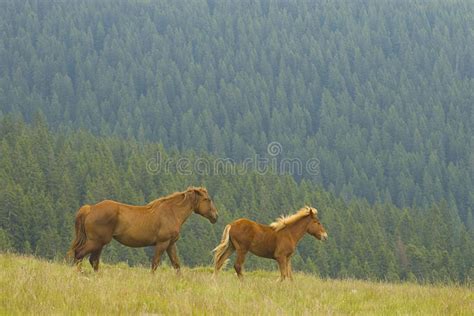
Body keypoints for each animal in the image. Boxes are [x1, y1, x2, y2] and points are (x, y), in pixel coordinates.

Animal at [67, 186, 218, 272]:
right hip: (96, 242)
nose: (215, 216)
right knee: (79, 254)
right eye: (207, 199)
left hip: (99, 243)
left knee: (93, 261)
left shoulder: (170, 244)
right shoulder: (162, 243)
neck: (172, 212)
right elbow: (155, 264)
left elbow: (176, 265)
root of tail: (90, 209)